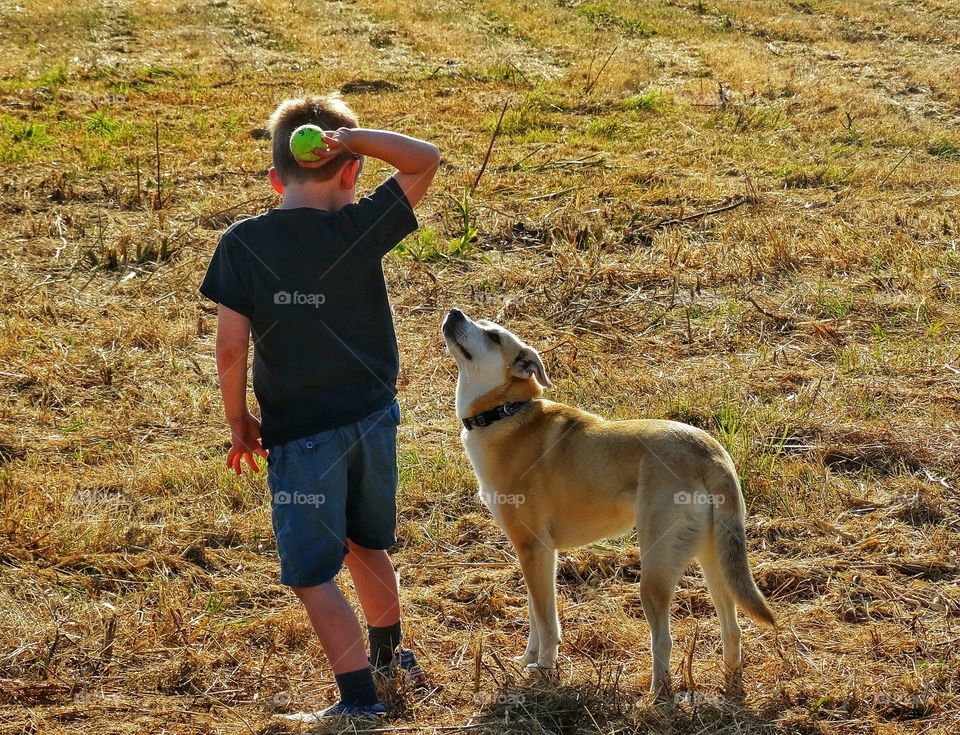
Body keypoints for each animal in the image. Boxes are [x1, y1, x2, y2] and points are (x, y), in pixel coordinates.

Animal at [440, 308, 772, 700]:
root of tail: (710, 453)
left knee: (664, 641)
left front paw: (545, 672)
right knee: (732, 629)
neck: (505, 412)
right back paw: (730, 683)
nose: (454, 313)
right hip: (713, 561)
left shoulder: (534, 549)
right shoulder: (537, 554)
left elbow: (547, 623)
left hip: (655, 571)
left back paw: (656, 696)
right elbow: (536, 617)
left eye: (493, 336)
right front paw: (528, 662)